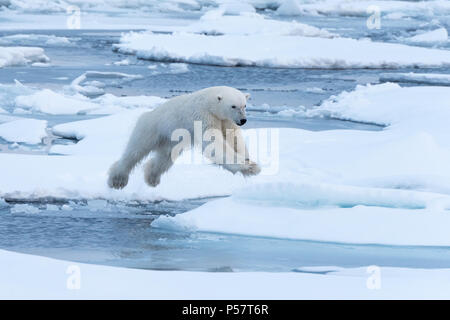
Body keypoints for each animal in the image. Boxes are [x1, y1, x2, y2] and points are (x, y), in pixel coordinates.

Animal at [108, 86, 260, 189]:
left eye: (245, 105)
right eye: (233, 106)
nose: (243, 120)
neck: (209, 103)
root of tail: (147, 115)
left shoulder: (226, 120)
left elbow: (233, 138)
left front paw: (251, 163)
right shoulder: (203, 116)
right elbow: (213, 142)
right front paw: (247, 166)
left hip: (172, 140)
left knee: (165, 158)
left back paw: (152, 177)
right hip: (150, 129)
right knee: (135, 151)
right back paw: (117, 180)